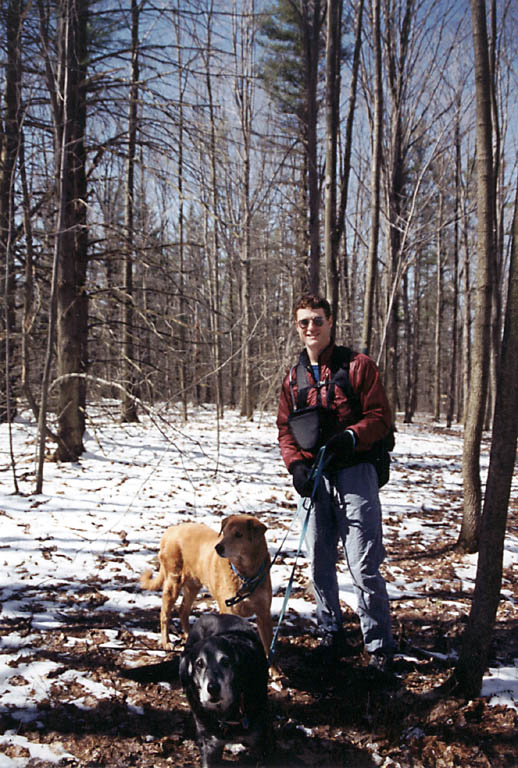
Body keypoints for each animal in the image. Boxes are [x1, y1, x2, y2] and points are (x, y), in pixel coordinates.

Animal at [140, 512, 274, 656]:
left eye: (238, 534)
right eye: (224, 533)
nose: (218, 547)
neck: (245, 576)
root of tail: (171, 529)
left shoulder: (264, 614)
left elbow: (269, 649)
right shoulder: (228, 610)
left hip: (193, 586)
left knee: (183, 611)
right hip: (173, 583)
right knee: (164, 614)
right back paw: (166, 642)